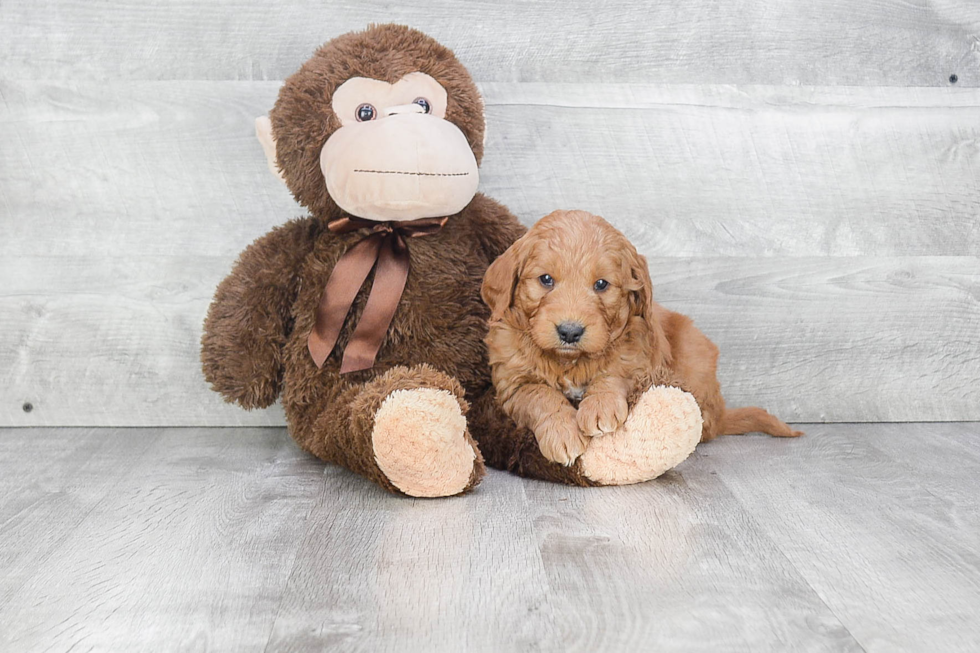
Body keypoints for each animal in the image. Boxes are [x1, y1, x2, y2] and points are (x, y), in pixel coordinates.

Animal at [478, 209, 800, 464]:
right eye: (545, 280)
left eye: (601, 284)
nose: (570, 331)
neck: (570, 362)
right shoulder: (512, 385)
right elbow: (540, 395)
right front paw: (563, 434)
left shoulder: (638, 358)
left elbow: (614, 373)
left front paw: (600, 406)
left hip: (694, 350)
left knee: (707, 419)